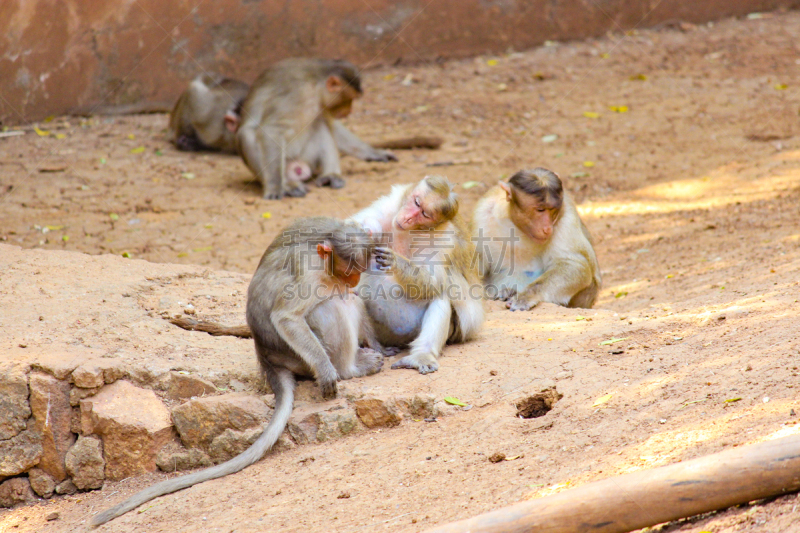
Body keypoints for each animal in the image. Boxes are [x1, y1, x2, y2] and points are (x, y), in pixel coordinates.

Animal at [238, 58, 400, 198]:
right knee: (247, 134)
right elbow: (272, 130)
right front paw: (276, 187)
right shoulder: (296, 95)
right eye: (350, 98)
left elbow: (331, 125)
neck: (315, 86)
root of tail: (297, 167)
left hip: (307, 158)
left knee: (319, 124)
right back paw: (289, 184)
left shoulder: (323, 104)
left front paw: (374, 153)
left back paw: (330, 175)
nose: (349, 111)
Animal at [348, 176, 482, 374]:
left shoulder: (444, 237)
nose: (408, 217)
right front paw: (366, 229)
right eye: (416, 202)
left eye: (425, 214)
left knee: (440, 295)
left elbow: (433, 283)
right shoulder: (390, 205)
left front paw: (396, 261)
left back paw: (421, 355)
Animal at [468, 166, 600, 308]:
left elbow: (574, 264)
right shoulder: (482, 213)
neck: (517, 227)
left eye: (553, 210)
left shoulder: (567, 214)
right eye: (540, 210)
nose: (547, 228)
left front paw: (525, 296)